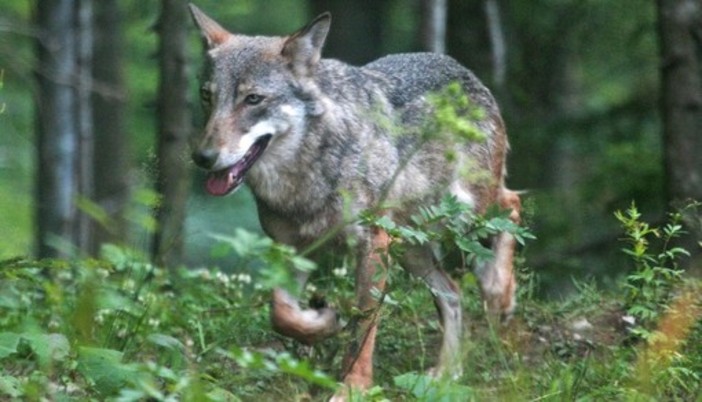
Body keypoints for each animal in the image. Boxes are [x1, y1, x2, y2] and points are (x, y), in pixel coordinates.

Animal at [188, 3, 524, 398]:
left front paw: (353, 388)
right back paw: (446, 374)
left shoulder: (371, 244)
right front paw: (324, 320)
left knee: (511, 206)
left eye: (253, 99)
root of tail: (464, 72)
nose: (202, 157)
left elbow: (364, 328)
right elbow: (282, 314)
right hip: (411, 246)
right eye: (207, 96)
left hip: (464, 212)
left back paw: (500, 293)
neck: (308, 171)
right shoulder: (292, 249)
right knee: (453, 294)